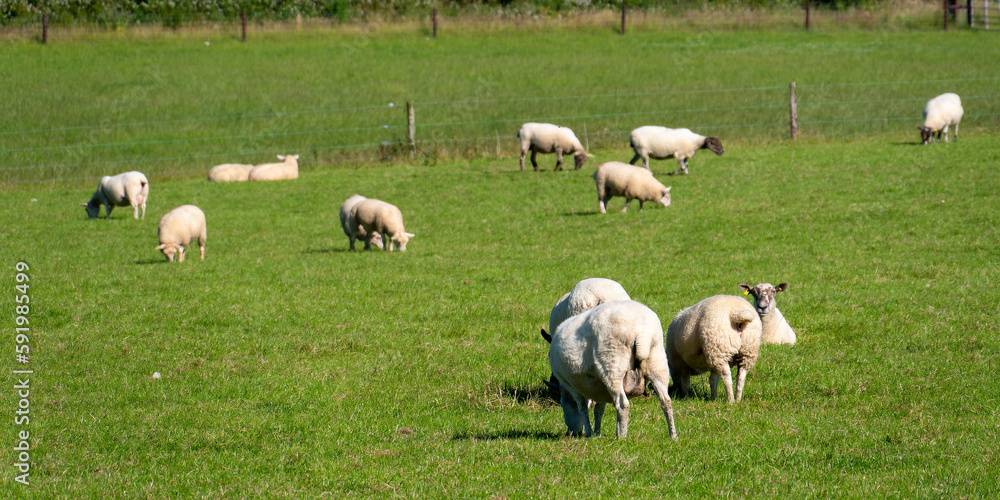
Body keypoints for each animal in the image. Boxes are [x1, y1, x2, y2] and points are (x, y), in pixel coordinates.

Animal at [548, 300, 678, 439]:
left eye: (563, 404)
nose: (571, 433)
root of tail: (642, 332)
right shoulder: (600, 388)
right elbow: (598, 410)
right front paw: (597, 433)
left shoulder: (572, 386)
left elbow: (583, 409)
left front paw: (589, 433)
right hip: (657, 364)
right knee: (666, 401)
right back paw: (673, 436)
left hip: (612, 366)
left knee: (622, 404)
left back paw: (621, 437)